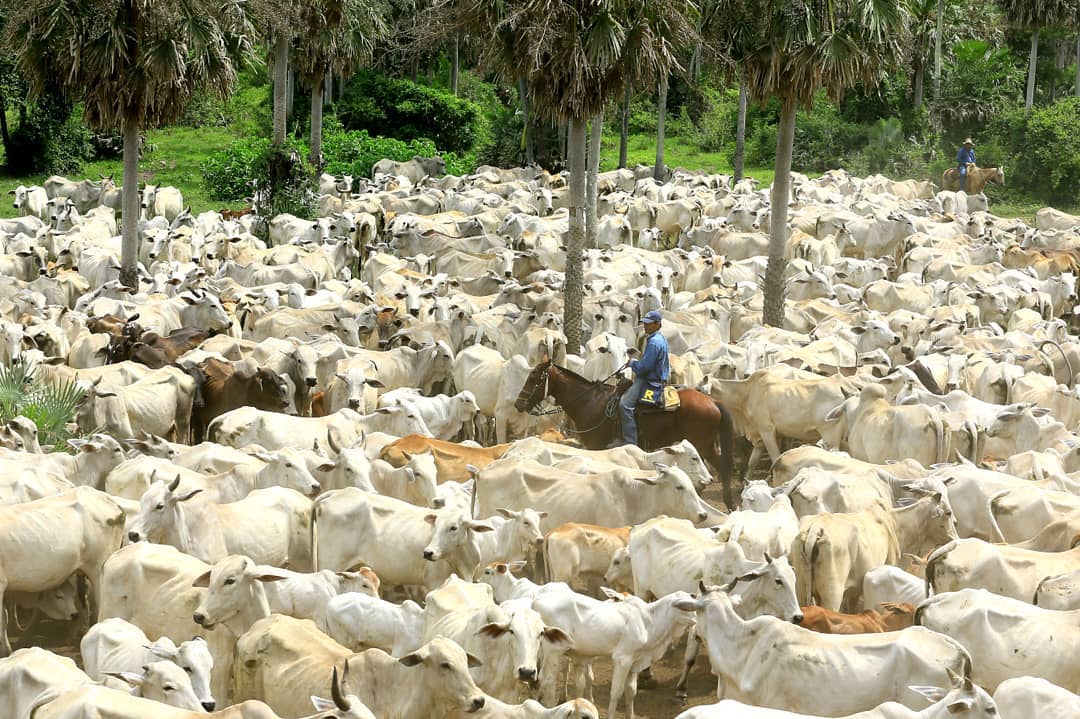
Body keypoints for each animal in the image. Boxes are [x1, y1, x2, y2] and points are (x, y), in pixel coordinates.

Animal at [511, 358, 734, 503]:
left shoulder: (595, 444)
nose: (518, 404)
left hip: (702, 444)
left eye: (533, 378)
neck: (589, 401)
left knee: (718, 469)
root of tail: (712, 401)